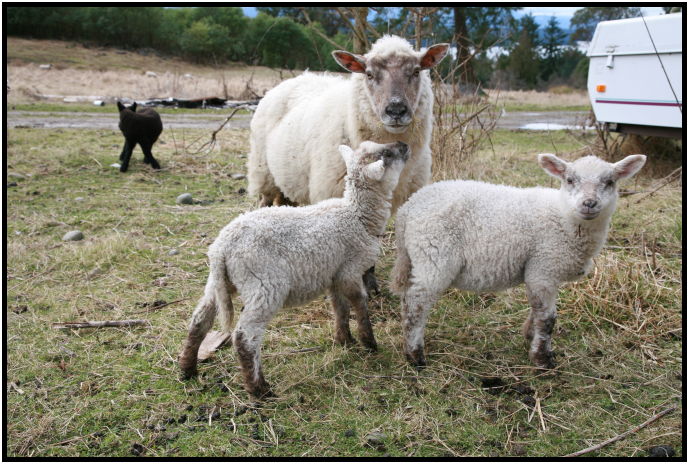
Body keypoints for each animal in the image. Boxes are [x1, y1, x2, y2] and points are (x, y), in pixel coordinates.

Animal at [179, 140, 410, 398]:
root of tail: (222, 248)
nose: (404, 144)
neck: (357, 215)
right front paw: (369, 343)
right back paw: (259, 389)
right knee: (245, 337)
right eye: (387, 154)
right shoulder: (350, 269)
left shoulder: (334, 272)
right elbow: (359, 303)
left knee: (199, 321)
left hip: (217, 284)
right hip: (264, 285)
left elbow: (339, 307)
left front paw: (344, 340)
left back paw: (187, 369)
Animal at [391, 153, 647, 369]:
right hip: (434, 255)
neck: (564, 217)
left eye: (610, 182)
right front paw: (542, 358)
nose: (589, 203)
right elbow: (547, 318)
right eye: (570, 179)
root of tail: (408, 209)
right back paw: (415, 355)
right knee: (417, 303)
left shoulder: (541, 272)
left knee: (407, 298)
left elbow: (537, 310)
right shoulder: (544, 265)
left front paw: (529, 336)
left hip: (418, 257)